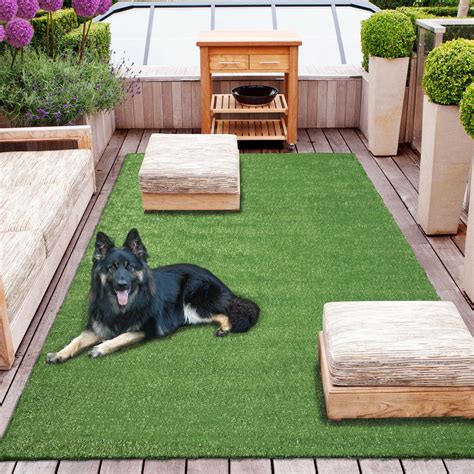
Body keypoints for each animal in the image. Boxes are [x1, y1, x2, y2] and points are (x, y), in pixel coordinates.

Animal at [45, 229, 260, 362]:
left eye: (129, 267)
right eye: (111, 268)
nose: (122, 285)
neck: (121, 308)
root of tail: (217, 280)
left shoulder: (145, 330)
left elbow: (120, 337)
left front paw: (101, 348)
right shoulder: (96, 327)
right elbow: (76, 340)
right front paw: (59, 354)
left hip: (192, 306)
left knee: (224, 313)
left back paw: (225, 328)